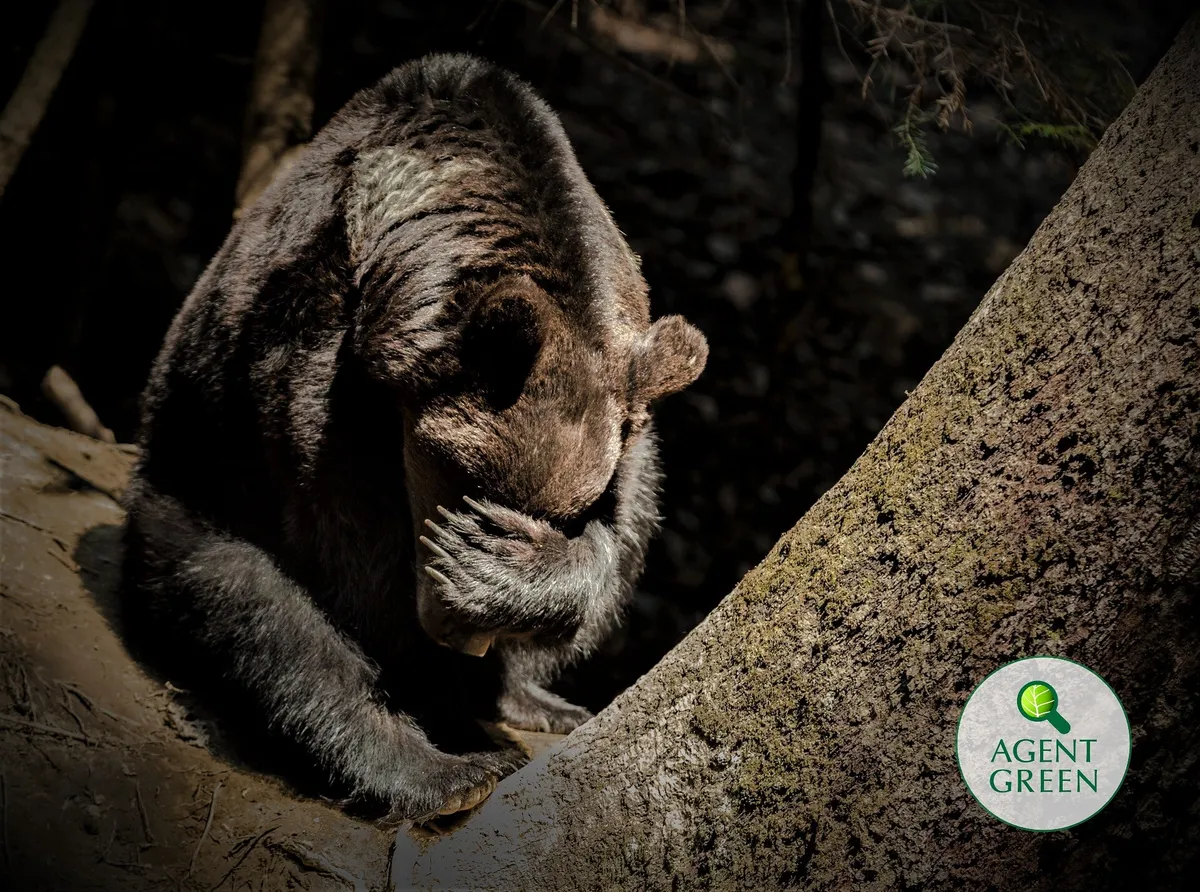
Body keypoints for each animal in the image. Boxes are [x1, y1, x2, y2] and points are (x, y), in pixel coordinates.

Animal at [121, 53, 708, 822]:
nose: (464, 637)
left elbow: (620, 531)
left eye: (567, 512)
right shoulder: (313, 367)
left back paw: (537, 701)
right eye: (467, 480)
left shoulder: (625, 412)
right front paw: (438, 702)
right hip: (186, 486)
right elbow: (346, 562)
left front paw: (499, 583)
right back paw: (441, 772)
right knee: (252, 603)